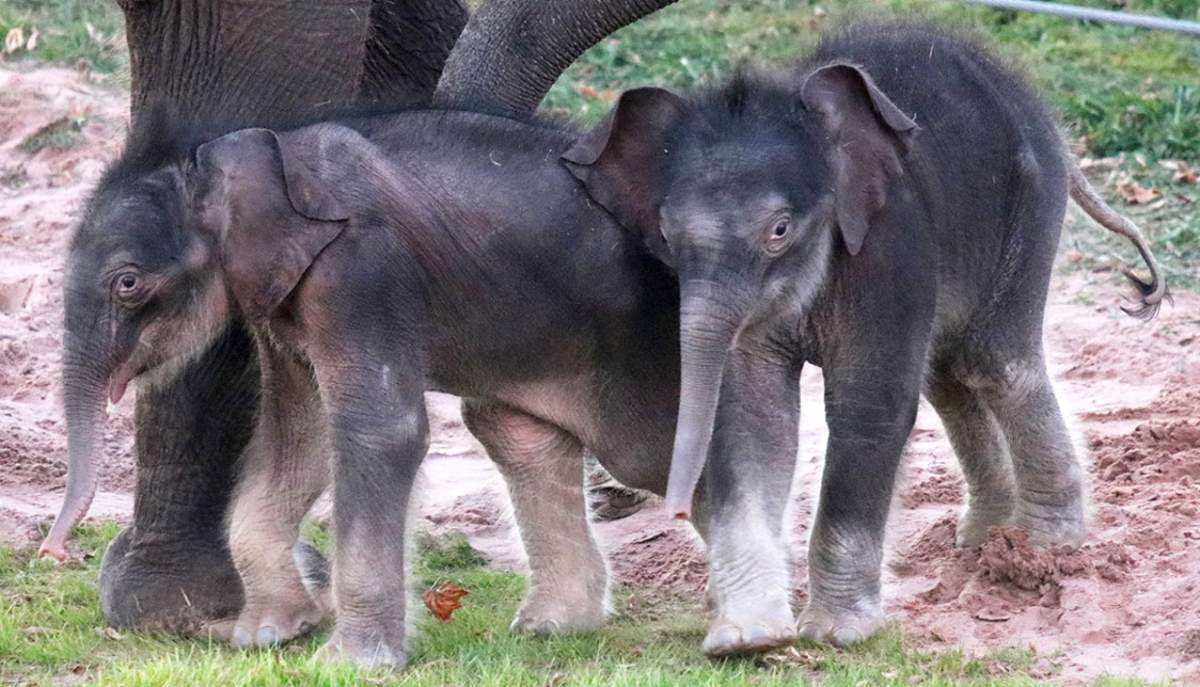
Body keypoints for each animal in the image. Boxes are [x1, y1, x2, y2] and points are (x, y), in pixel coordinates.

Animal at [45, 0, 677, 635]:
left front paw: (186, 609)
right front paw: (267, 625)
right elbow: (301, 437)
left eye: (128, 284)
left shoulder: (353, 275)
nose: (52, 552)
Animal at [562, 23, 1165, 645]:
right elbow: (754, 415)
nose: (675, 509)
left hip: (1029, 203)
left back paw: (1046, 546)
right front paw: (747, 637)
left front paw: (834, 635)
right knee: (947, 375)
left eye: (779, 230)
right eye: (666, 234)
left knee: (994, 364)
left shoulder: (888, 245)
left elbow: (868, 405)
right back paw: (983, 539)